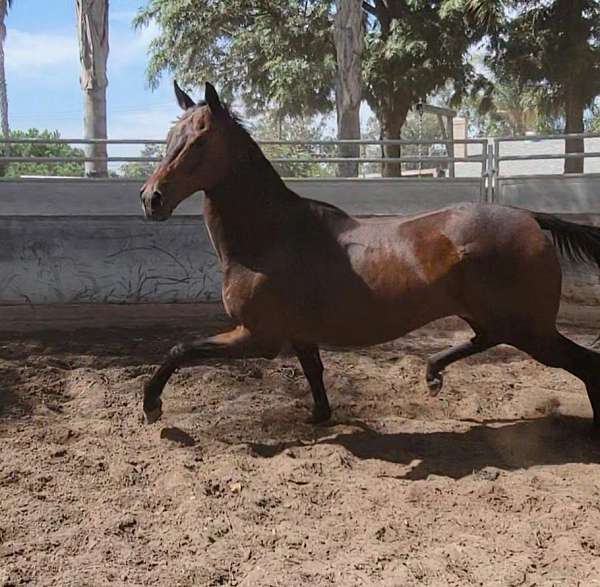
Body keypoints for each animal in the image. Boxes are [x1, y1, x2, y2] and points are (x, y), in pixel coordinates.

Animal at [141, 81, 600, 432]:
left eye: (198, 141)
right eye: (169, 139)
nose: (151, 198)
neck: (269, 237)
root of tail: (531, 218)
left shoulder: (257, 336)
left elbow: (181, 350)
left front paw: (152, 406)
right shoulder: (297, 335)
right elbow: (314, 373)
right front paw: (319, 417)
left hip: (529, 329)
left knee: (585, 362)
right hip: (497, 318)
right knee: (487, 340)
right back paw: (432, 374)